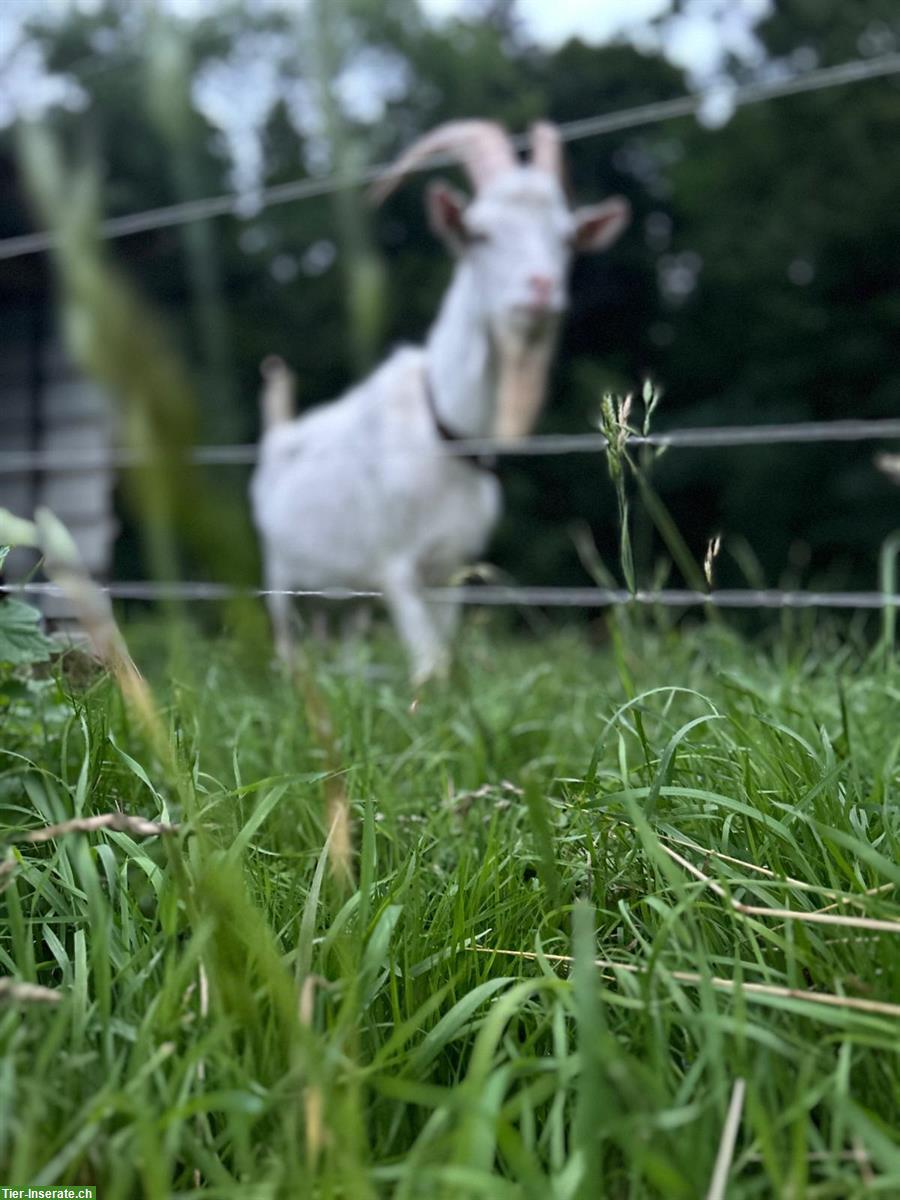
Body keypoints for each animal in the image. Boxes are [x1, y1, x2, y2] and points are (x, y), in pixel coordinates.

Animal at [250, 124, 628, 686]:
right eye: (480, 233)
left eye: (565, 238)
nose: (542, 288)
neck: (444, 428)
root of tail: (279, 432)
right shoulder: (396, 566)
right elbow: (428, 660)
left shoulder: (451, 567)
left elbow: (445, 651)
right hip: (280, 573)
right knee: (286, 635)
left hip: (342, 594)